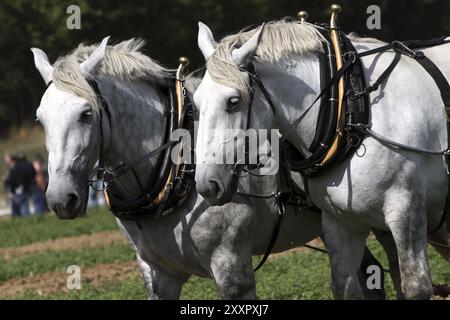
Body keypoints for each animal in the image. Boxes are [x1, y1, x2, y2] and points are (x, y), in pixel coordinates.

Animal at [31, 38, 384, 300]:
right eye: (40, 117)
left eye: (86, 113)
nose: (61, 199)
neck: (175, 168)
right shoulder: (158, 276)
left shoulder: (231, 268)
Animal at [194, 20, 450, 300]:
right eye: (195, 103)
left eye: (232, 102)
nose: (207, 185)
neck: (351, 109)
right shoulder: (340, 222)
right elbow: (344, 287)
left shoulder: (406, 208)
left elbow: (416, 286)